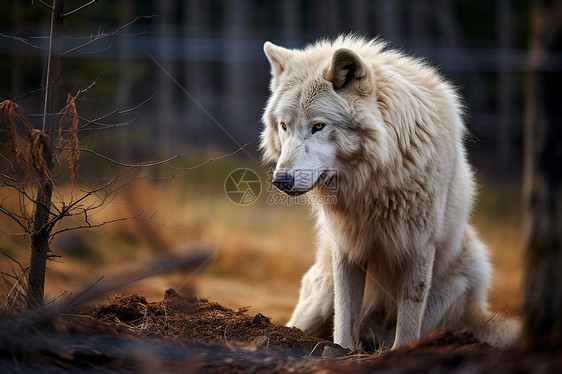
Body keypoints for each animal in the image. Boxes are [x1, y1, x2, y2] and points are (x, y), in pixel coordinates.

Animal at [260, 35, 520, 350]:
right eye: (284, 126)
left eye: (318, 126)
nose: (281, 180)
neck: (372, 182)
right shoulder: (347, 246)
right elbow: (344, 318)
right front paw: (343, 351)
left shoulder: (419, 245)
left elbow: (408, 320)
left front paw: (402, 351)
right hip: (319, 298)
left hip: (466, 273)